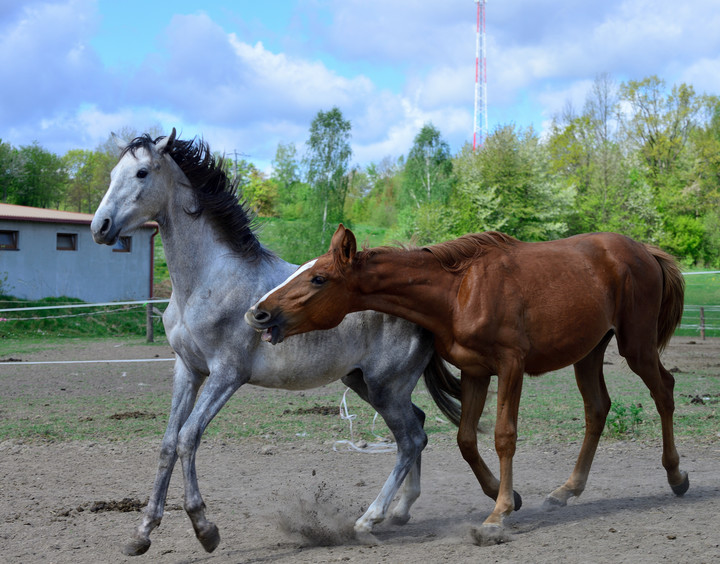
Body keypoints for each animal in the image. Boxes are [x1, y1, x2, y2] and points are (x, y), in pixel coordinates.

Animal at [91, 130, 462, 556]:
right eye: (113, 173)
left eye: (141, 172)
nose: (100, 227)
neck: (206, 281)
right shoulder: (188, 369)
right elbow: (169, 442)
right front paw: (141, 534)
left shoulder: (226, 375)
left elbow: (188, 438)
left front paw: (206, 530)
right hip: (365, 383)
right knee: (418, 429)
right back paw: (401, 511)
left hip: (387, 387)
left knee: (410, 439)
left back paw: (369, 521)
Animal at [249, 224, 692, 540]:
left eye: (319, 278)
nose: (258, 312)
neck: (458, 292)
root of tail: (643, 250)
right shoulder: (475, 371)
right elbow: (465, 439)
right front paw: (504, 496)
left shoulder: (510, 366)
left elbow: (504, 436)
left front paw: (498, 515)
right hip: (589, 353)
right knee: (597, 410)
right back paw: (566, 490)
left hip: (636, 346)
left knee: (664, 391)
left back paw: (675, 475)